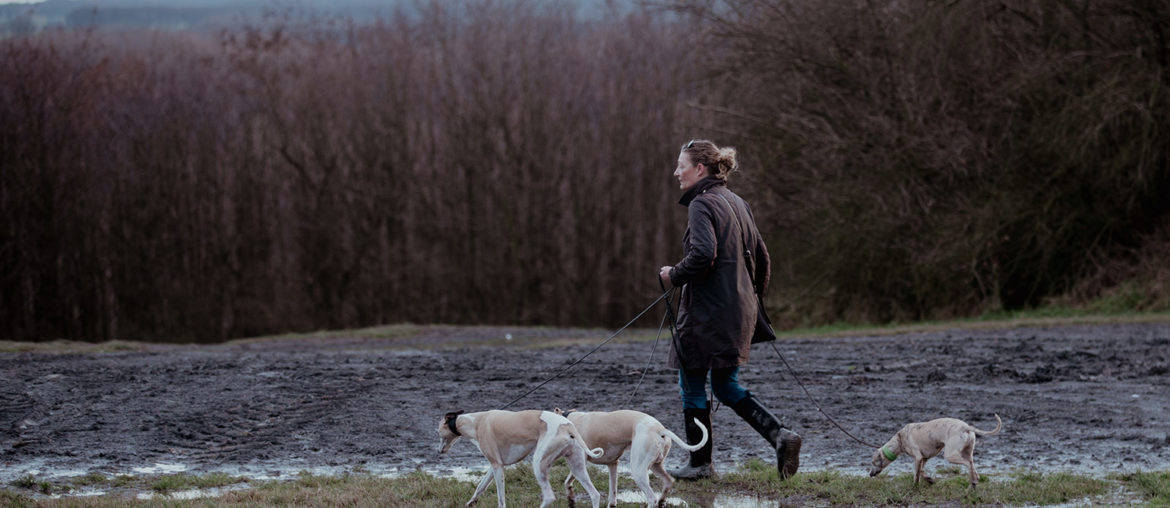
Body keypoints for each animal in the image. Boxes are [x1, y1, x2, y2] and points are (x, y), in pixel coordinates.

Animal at [439, 409, 603, 508]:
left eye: (438, 431)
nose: (439, 450)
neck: (476, 421)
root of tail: (568, 426)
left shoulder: (497, 466)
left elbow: (501, 498)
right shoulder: (495, 465)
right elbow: (481, 486)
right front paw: (470, 503)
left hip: (539, 464)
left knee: (549, 497)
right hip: (577, 466)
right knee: (594, 494)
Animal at [554, 409, 706, 508]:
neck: (570, 419)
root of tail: (659, 429)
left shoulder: (579, 462)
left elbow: (571, 480)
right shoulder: (612, 464)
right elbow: (612, 493)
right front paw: (571, 498)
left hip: (638, 470)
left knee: (651, 498)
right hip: (656, 465)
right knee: (669, 481)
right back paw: (662, 501)